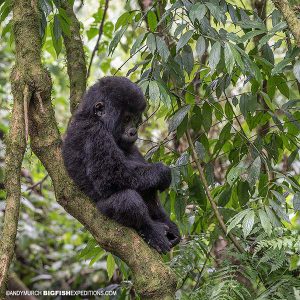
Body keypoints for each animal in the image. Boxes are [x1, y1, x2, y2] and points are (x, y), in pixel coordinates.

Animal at [62, 76, 180, 252]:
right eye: (126, 118)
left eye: (136, 120)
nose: (133, 132)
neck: (91, 116)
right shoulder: (94, 133)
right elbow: (110, 176)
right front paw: (162, 172)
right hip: (102, 210)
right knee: (128, 200)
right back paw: (152, 231)